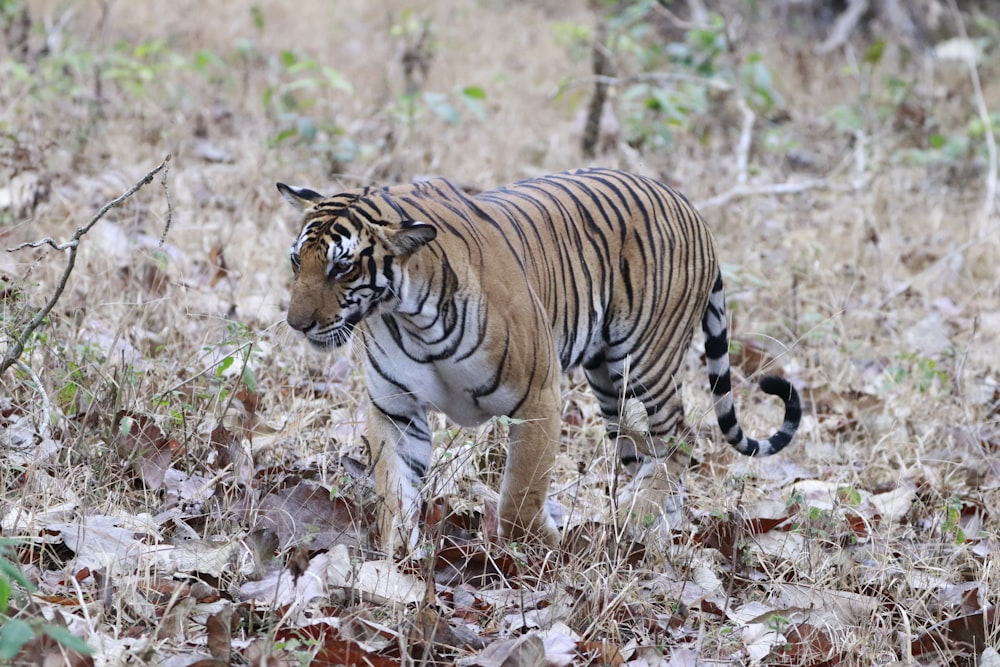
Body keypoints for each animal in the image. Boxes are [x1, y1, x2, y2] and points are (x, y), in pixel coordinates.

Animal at [278, 167, 800, 552]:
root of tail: (688, 205)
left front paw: (547, 548)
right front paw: (396, 563)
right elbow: (395, 494)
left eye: (342, 267)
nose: (296, 324)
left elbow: (520, 495)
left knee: (679, 441)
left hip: (646, 361)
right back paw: (647, 525)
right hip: (608, 381)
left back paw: (641, 517)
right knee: (641, 448)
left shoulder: (537, 397)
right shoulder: (396, 409)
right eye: (296, 261)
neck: (407, 316)